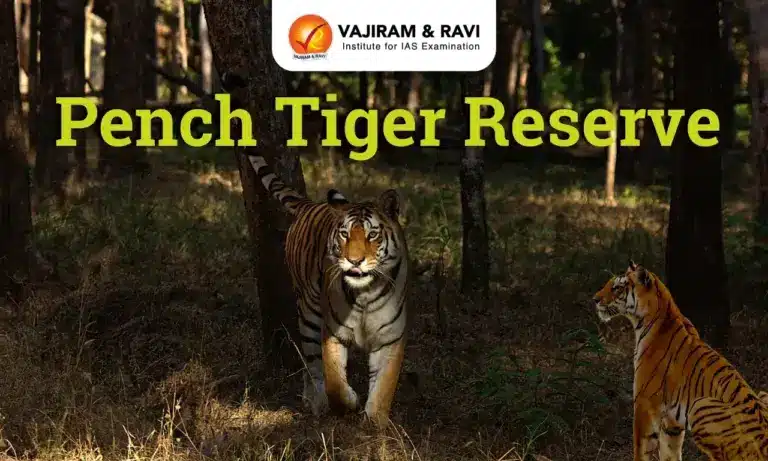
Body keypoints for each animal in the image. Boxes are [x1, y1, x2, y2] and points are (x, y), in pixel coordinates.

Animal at [244, 154, 410, 429]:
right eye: (344, 234)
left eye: (372, 235)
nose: (354, 261)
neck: (364, 294)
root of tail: (310, 205)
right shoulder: (333, 332)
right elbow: (334, 380)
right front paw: (349, 402)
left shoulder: (390, 337)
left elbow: (384, 386)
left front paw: (375, 423)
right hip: (309, 311)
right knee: (311, 363)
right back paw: (316, 402)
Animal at [593, 261, 768, 461]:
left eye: (617, 287)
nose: (595, 299)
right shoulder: (671, 422)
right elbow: (669, 453)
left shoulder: (644, 403)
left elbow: (641, 449)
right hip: (762, 394)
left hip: (699, 406)